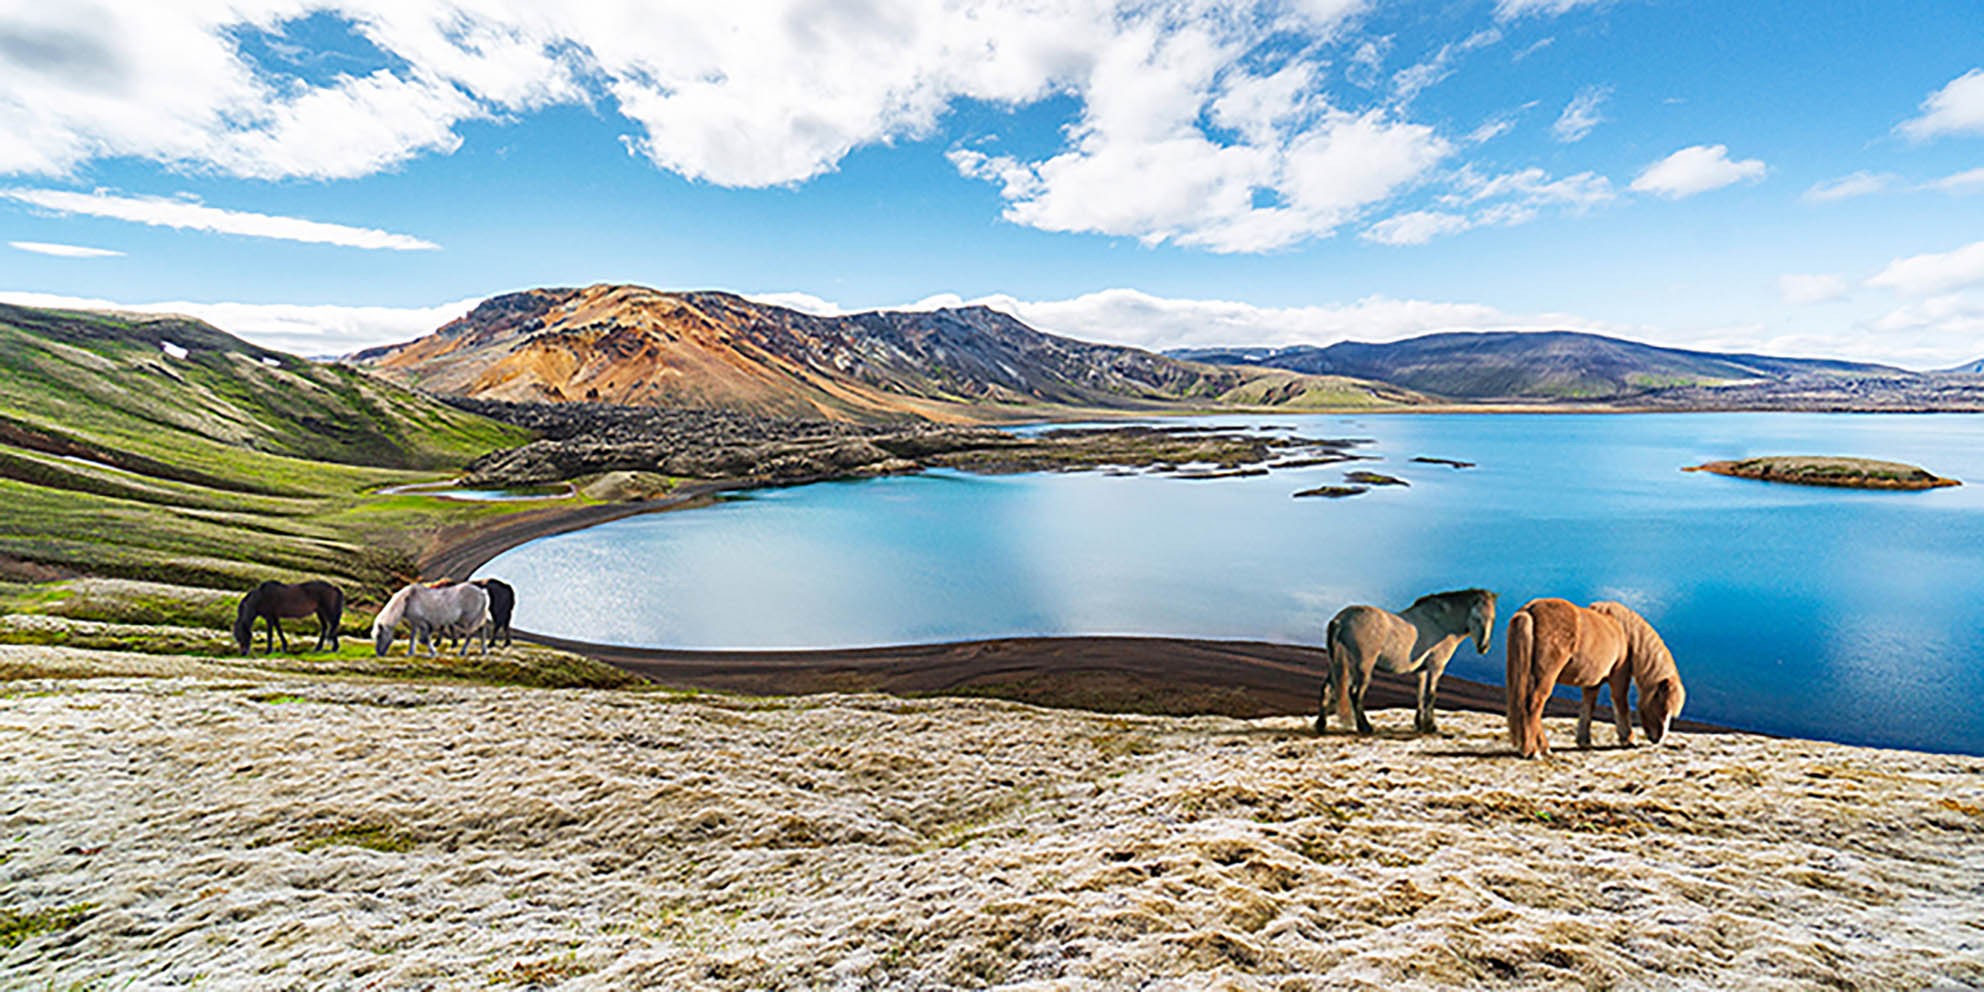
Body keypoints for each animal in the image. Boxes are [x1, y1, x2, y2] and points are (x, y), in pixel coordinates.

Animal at [1319, 588, 1497, 735]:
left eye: (1492, 619)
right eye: (1477, 617)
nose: (1483, 647)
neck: (1440, 623)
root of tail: (1341, 620)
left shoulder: (1422, 670)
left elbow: (1420, 694)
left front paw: (1419, 724)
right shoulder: (1436, 667)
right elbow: (1430, 695)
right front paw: (1430, 726)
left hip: (1336, 665)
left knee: (1327, 689)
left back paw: (1321, 725)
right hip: (1362, 667)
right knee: (1355, 694)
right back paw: (1365, 727)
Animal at [1505, 598, 1687, 758]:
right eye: (1663, 705)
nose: (1658, 739)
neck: (1625, 634)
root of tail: (1529, 611)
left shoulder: (1593, 682)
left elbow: (1588, 706)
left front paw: (1584, 740)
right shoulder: (1619, 677)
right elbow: (1621, 704)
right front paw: (1628, 739)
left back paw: (1542, 748)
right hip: (1545, 677)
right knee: (1533, 706)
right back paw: (1533, 751)